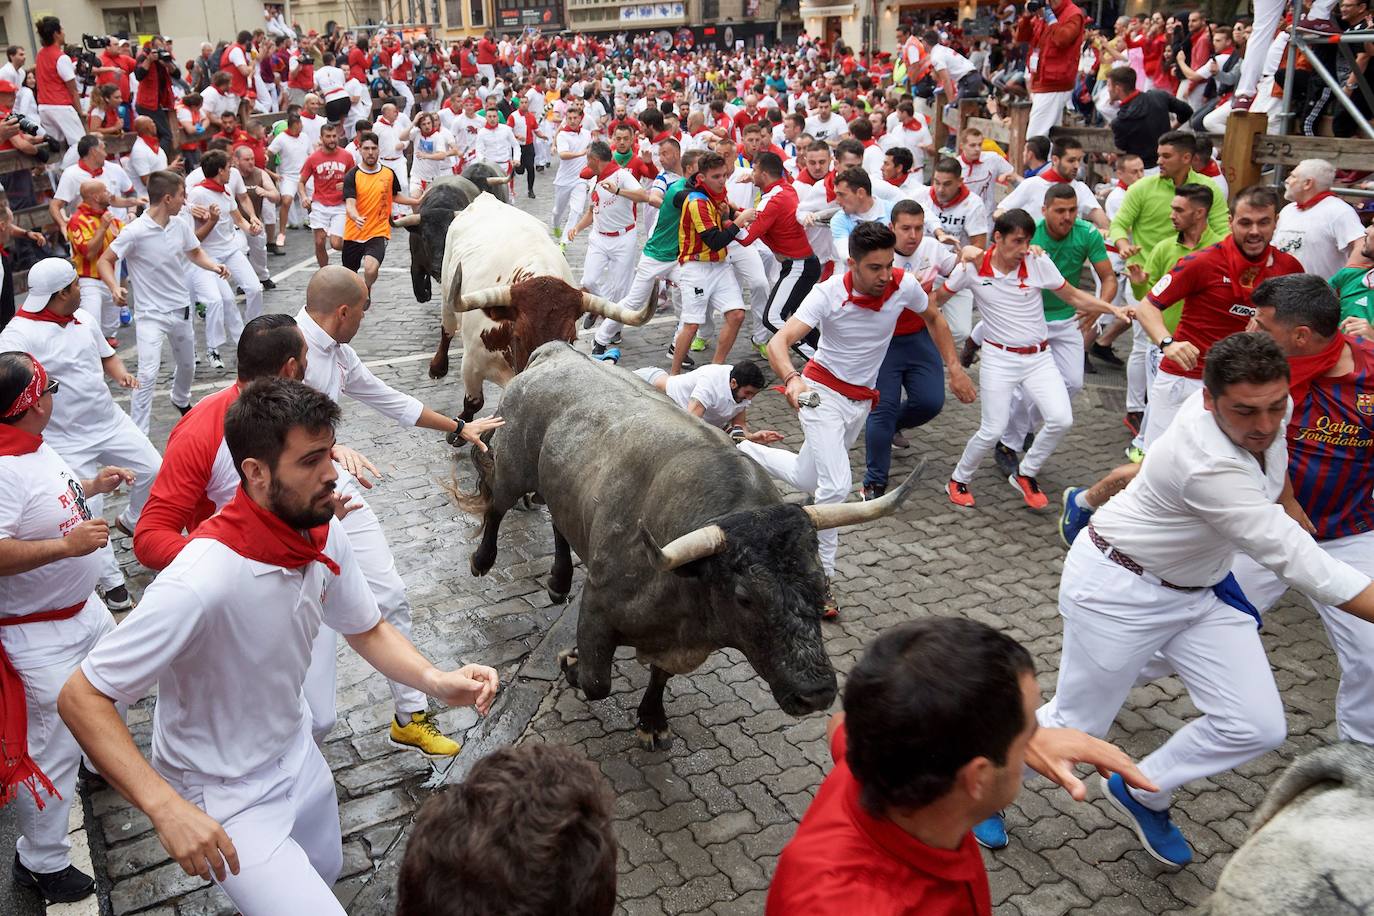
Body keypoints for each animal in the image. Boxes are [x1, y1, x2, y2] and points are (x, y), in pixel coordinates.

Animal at [423, 197, 654, 422]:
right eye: (519, 336)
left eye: (571, 340)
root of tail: (485, 198)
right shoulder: (471, 362)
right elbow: (473, 403)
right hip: (448, 290)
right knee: (447, 329)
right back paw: (437, 367)